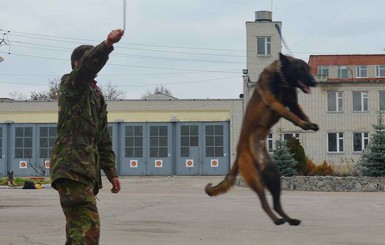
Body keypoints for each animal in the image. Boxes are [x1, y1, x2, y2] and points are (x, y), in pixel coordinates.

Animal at [204, 53, 318, 226]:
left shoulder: (293, 103)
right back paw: (277, 220)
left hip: (274, 176)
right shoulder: (275, 103)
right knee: (264, 203)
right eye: (300, 69)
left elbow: (300, 113)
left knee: (276, 204)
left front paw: (309, 123)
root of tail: (239, 155)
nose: (314, 82)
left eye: (308, 69)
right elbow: (291, 115)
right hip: (256, 179)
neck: (280, 77)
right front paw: (304, 124)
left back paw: (289, 220)